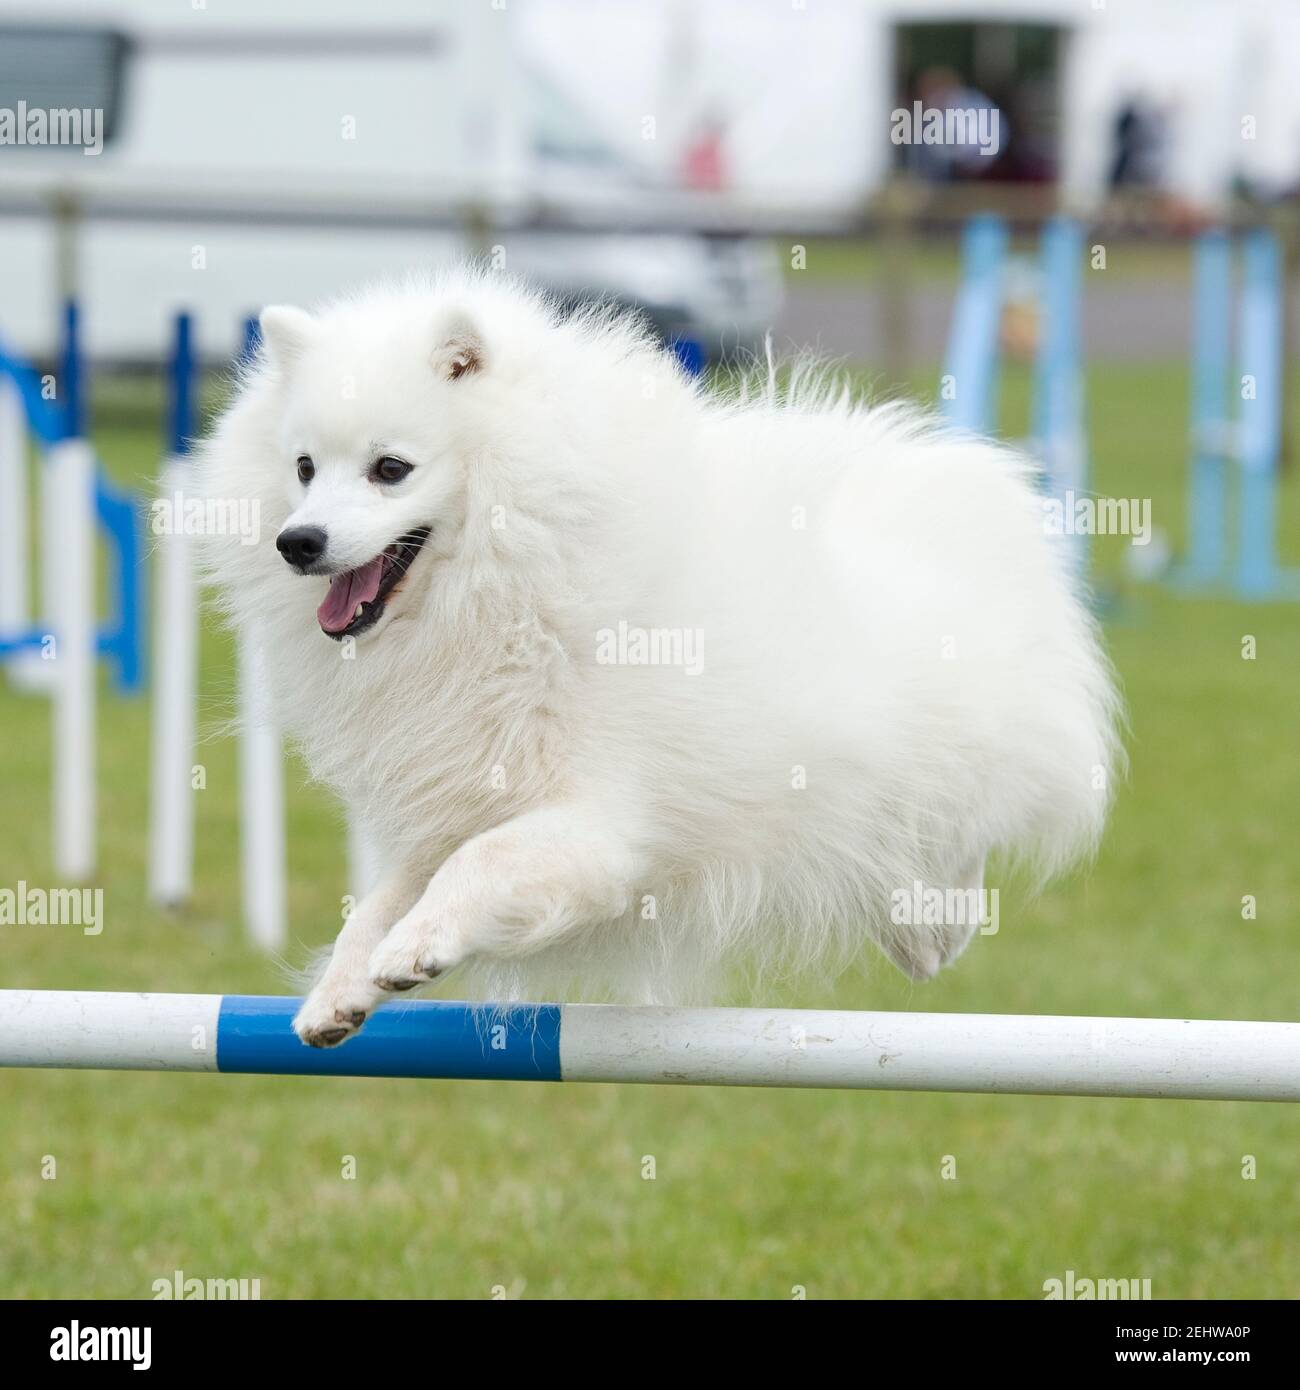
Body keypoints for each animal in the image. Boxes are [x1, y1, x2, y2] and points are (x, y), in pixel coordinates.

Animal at [198, 271, 1123, 1045]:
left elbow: (478, 864)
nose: (298, 541)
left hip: (933, 760)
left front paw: (415, 947)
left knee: (956, 834)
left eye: (391, 469)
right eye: (304, 468)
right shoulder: (458, 794)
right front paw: (341, 990)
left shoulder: (599, 825)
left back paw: (931, 927)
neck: (509, 580)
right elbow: (379, 899)